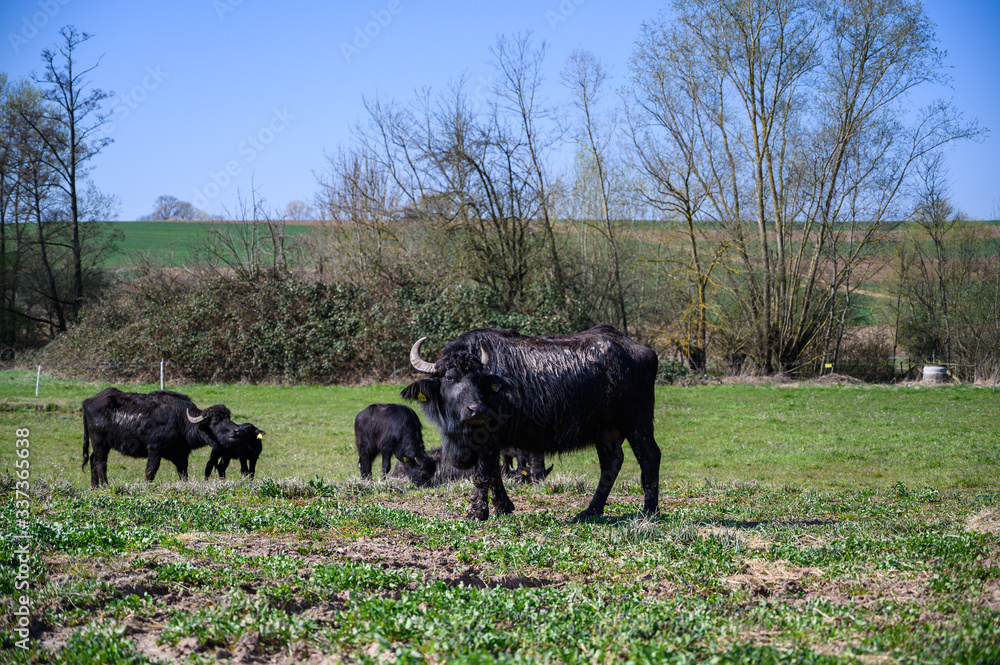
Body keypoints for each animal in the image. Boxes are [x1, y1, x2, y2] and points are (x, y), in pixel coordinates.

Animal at [82, 387, 256, 488]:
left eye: (228, 417)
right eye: (216, 420)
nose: (236, 431)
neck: (181, 421)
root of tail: (88, 401)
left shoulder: (181, 454)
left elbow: (183, 473)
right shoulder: (155, 448)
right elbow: (151, 471)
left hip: (101, 444)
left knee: (92, 460)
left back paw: (94, 487)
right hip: (99, 442)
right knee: (100, 463)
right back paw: (105, 485)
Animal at [401, 324, 660, 521]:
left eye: (478, 379)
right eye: (449, 378)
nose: (477, 410)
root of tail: (643, 351)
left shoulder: (489, 439)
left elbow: (483, 474)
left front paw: (477, 512)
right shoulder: (496, 444)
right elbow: (496, 473)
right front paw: (503, 507)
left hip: (638, 422)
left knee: (649, 456)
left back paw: (649, 510)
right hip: (606, 432)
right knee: (611, 464)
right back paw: (590, 511)